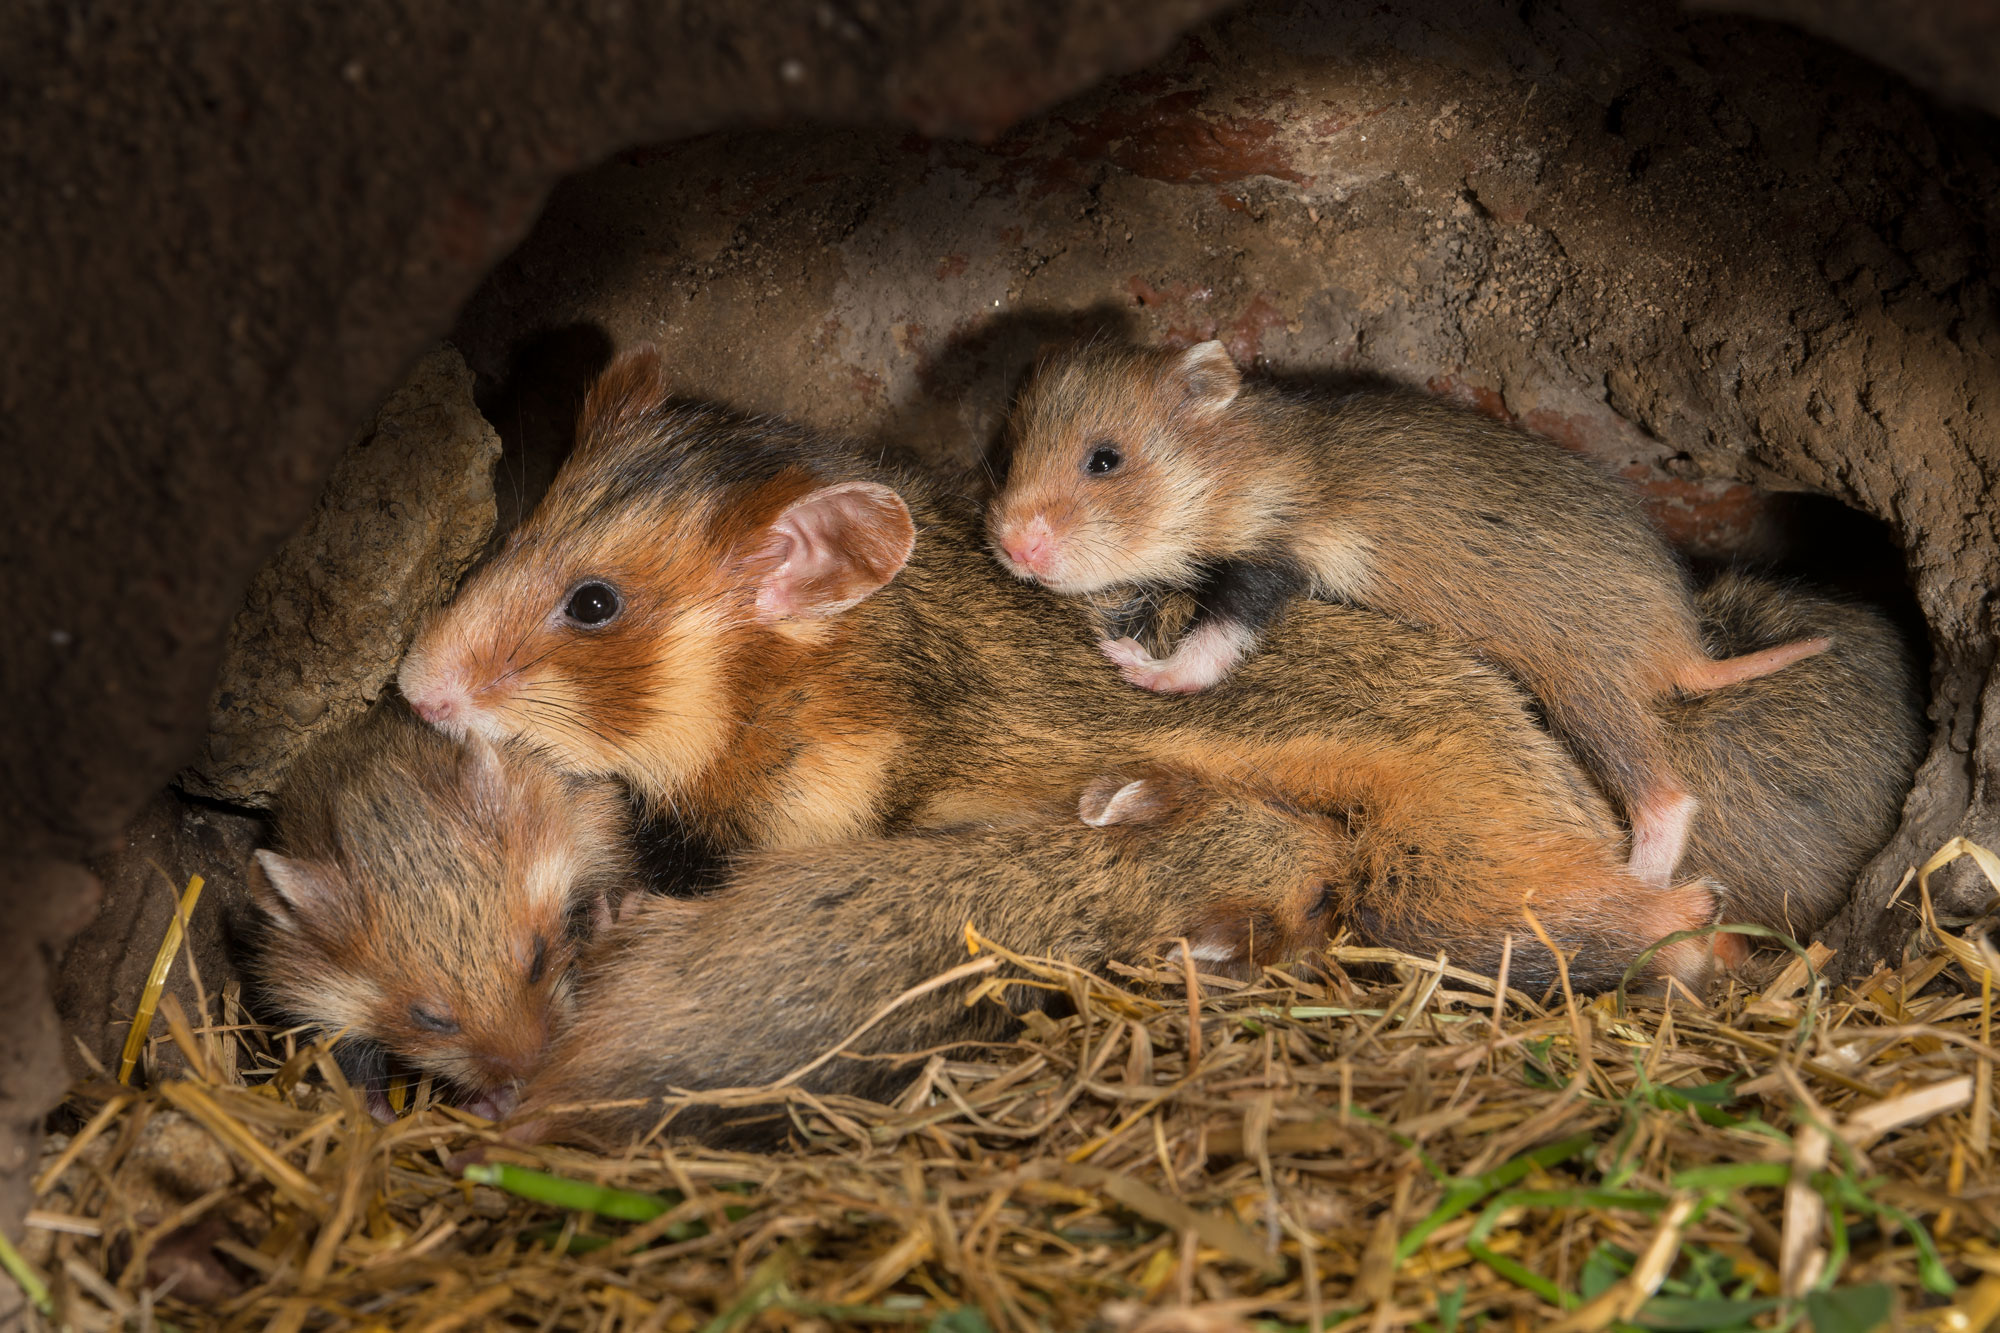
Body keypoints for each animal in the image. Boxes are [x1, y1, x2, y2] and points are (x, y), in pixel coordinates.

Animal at [398, 342, 1728, 984]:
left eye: (593, 604)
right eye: (515, 531)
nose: (410, 688)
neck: (796, 682)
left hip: (1440, 880)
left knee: (1673, 911)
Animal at [980, 340, 1832, 892]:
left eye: (1105, 459)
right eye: (1009, 446)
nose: (1011, 546)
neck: (1240, 464)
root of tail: (1684, 648)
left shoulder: (1270, 564)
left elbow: (1207, 650)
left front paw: (1133, 664)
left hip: (1587, 691)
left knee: (1668, 799)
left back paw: (1641, 879)